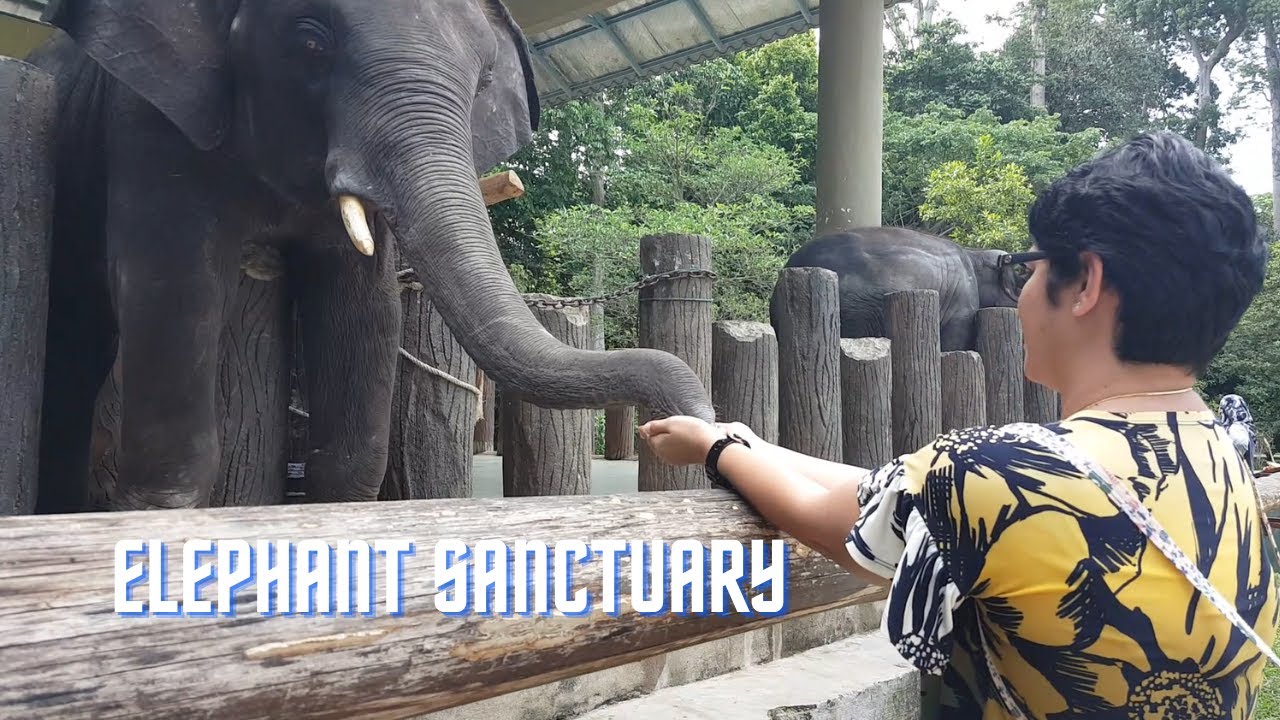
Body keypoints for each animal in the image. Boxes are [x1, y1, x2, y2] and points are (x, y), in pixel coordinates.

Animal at [25, 0, 714, 513]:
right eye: (310, 42)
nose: (703, 419)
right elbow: (173, 291)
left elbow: (364, 316)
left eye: (481, 83)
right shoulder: (147, 122)